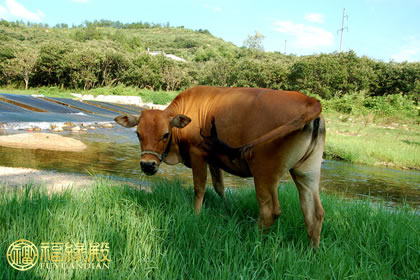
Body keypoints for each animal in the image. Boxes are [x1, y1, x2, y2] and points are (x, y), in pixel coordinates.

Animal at [114, 86, 324, 247]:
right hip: (307, 173)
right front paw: (226, 208)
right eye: (138, 134)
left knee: (270, 211)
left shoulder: (198, 154)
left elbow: (200, 187)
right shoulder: (214, 159)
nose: (147, 165)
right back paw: (311, 251)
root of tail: (309, 100)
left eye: (165, 134)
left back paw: (254, 241)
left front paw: (196, 214)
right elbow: (219, 187)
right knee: (314, 212)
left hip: (264, 173)